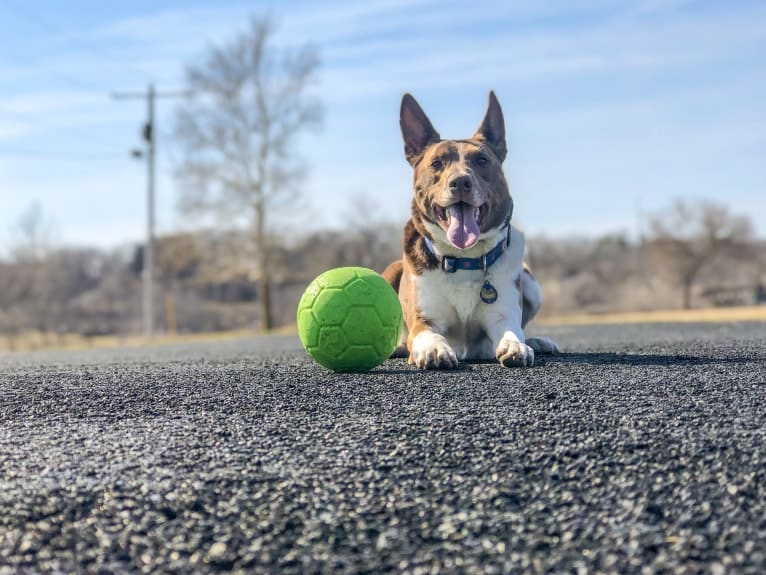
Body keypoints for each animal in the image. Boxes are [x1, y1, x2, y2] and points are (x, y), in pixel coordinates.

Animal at [382, 90, 560, 368]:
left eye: (482, 160)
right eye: (437, 164)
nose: (461, 182)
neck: (464, 258)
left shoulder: (502, 315)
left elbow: (512, 331)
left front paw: (517, 346)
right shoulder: (424, 321)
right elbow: (427, 335)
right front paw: (435, 349)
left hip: (531, 282)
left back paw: (538, 341)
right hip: (391, 271)